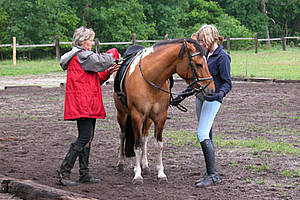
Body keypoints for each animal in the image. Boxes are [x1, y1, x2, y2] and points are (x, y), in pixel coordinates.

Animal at [113, 38, 214, 184]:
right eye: (199, 64)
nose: (211, 89)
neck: (150, 79)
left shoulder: (160, 118)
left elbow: (158, 144)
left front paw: (160, 173)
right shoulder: (137, 117)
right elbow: (137, 145)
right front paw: (137, 175)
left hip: (148, 120)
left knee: (144, 138)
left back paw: (145, 165)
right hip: (122, 114)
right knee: (123, 135)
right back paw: (121, 163)